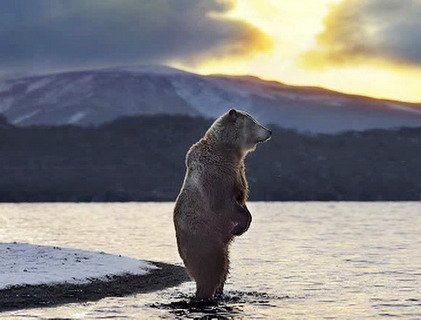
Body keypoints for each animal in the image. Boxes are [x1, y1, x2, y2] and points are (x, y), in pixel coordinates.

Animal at [172, 110, 270, 300]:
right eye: (254, 122)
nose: (269, 131)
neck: (228, 150)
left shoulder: (237, 171)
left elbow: (241, 199)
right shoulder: (216, 176)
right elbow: (225, 204)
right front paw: (238, 228)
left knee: (223, 268)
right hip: (205, 241)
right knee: (212, 269)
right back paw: (205, 292)